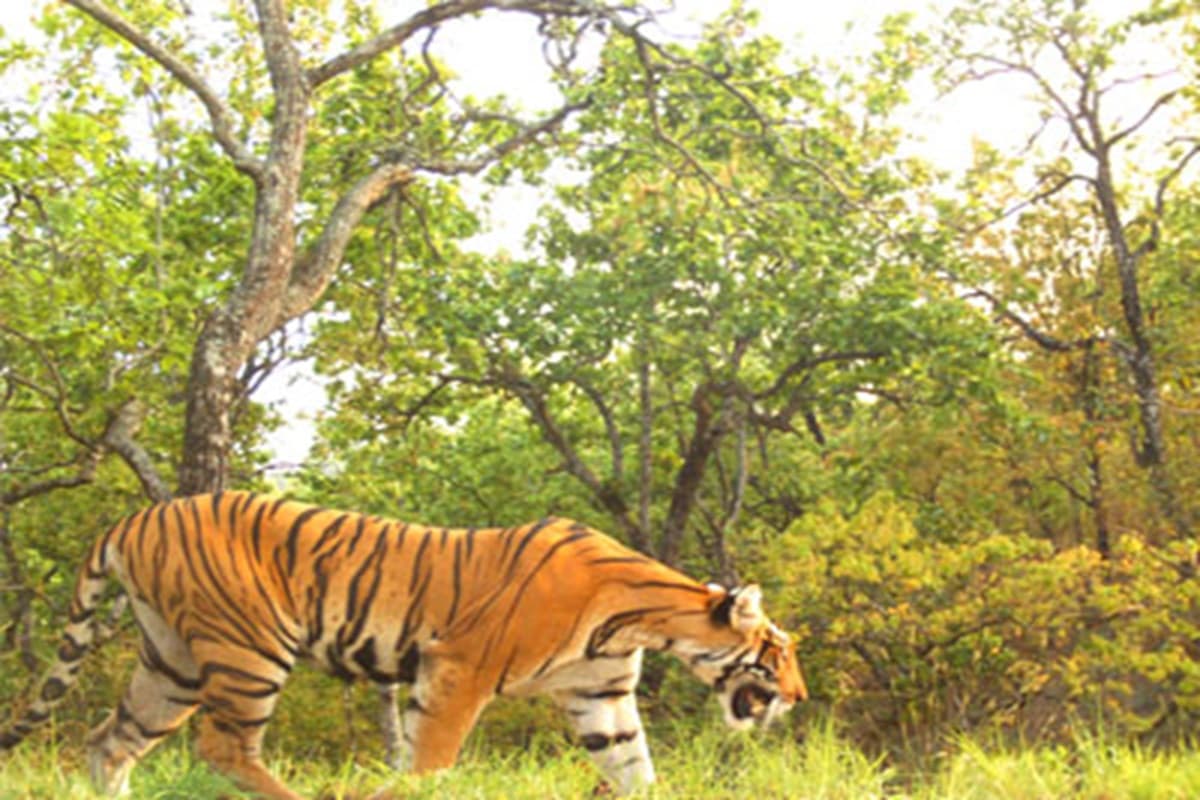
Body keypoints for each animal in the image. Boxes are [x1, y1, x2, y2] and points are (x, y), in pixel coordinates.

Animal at [0, 491, 806, 798]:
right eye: (777, 651)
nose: (799, 698)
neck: (640, 617)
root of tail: (133, 518)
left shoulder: (599, 695)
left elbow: (635, 770)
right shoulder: (459, 668)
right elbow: (431, 759)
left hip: (169, 664)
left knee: (110, 739)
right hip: (249, 649)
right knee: (224, 747)